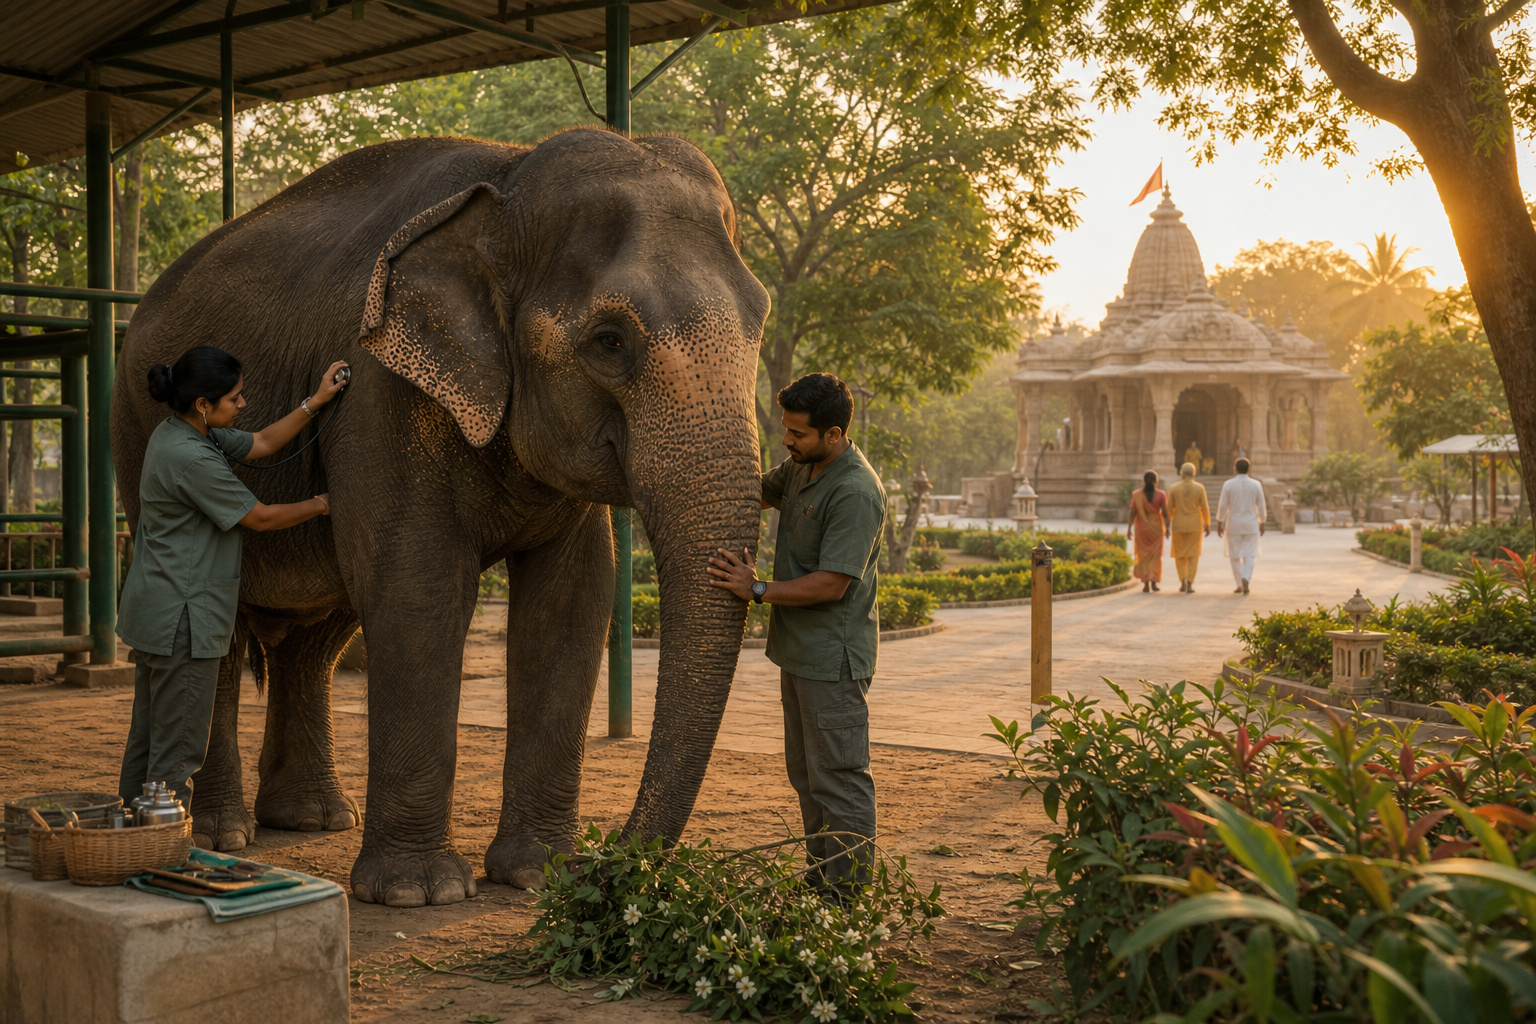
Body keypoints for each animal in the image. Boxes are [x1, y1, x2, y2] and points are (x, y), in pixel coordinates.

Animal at [111, 128, 770, 907]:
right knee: (217, 627)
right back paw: (217, 834)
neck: (507, 177)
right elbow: (418, 587)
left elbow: (572, 600)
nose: (605, 867)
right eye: (610, 340)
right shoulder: (381, 391)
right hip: (135, 431)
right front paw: (418, 893)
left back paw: (310, 820)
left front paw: (538, 874)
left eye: (761, 320)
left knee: (318, 637)